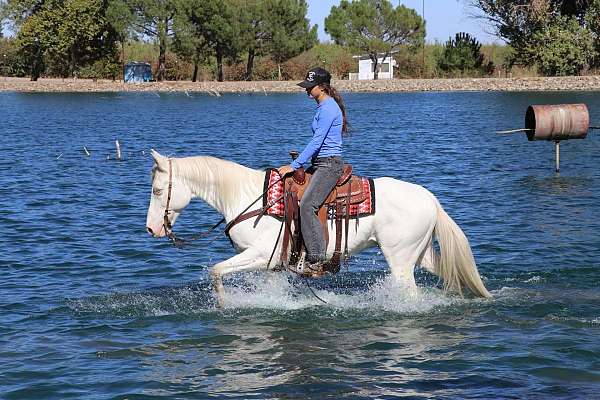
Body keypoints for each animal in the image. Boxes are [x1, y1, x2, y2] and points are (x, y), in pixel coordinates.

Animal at [146, 149, 492, 304]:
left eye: (158, 190)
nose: (151, 230)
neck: (248, 197)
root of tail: (431, 200)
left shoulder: (261, 255)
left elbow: (216, 271)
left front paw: (224, 304)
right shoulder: (273, 264)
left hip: (400, 258)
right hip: (419, 253)